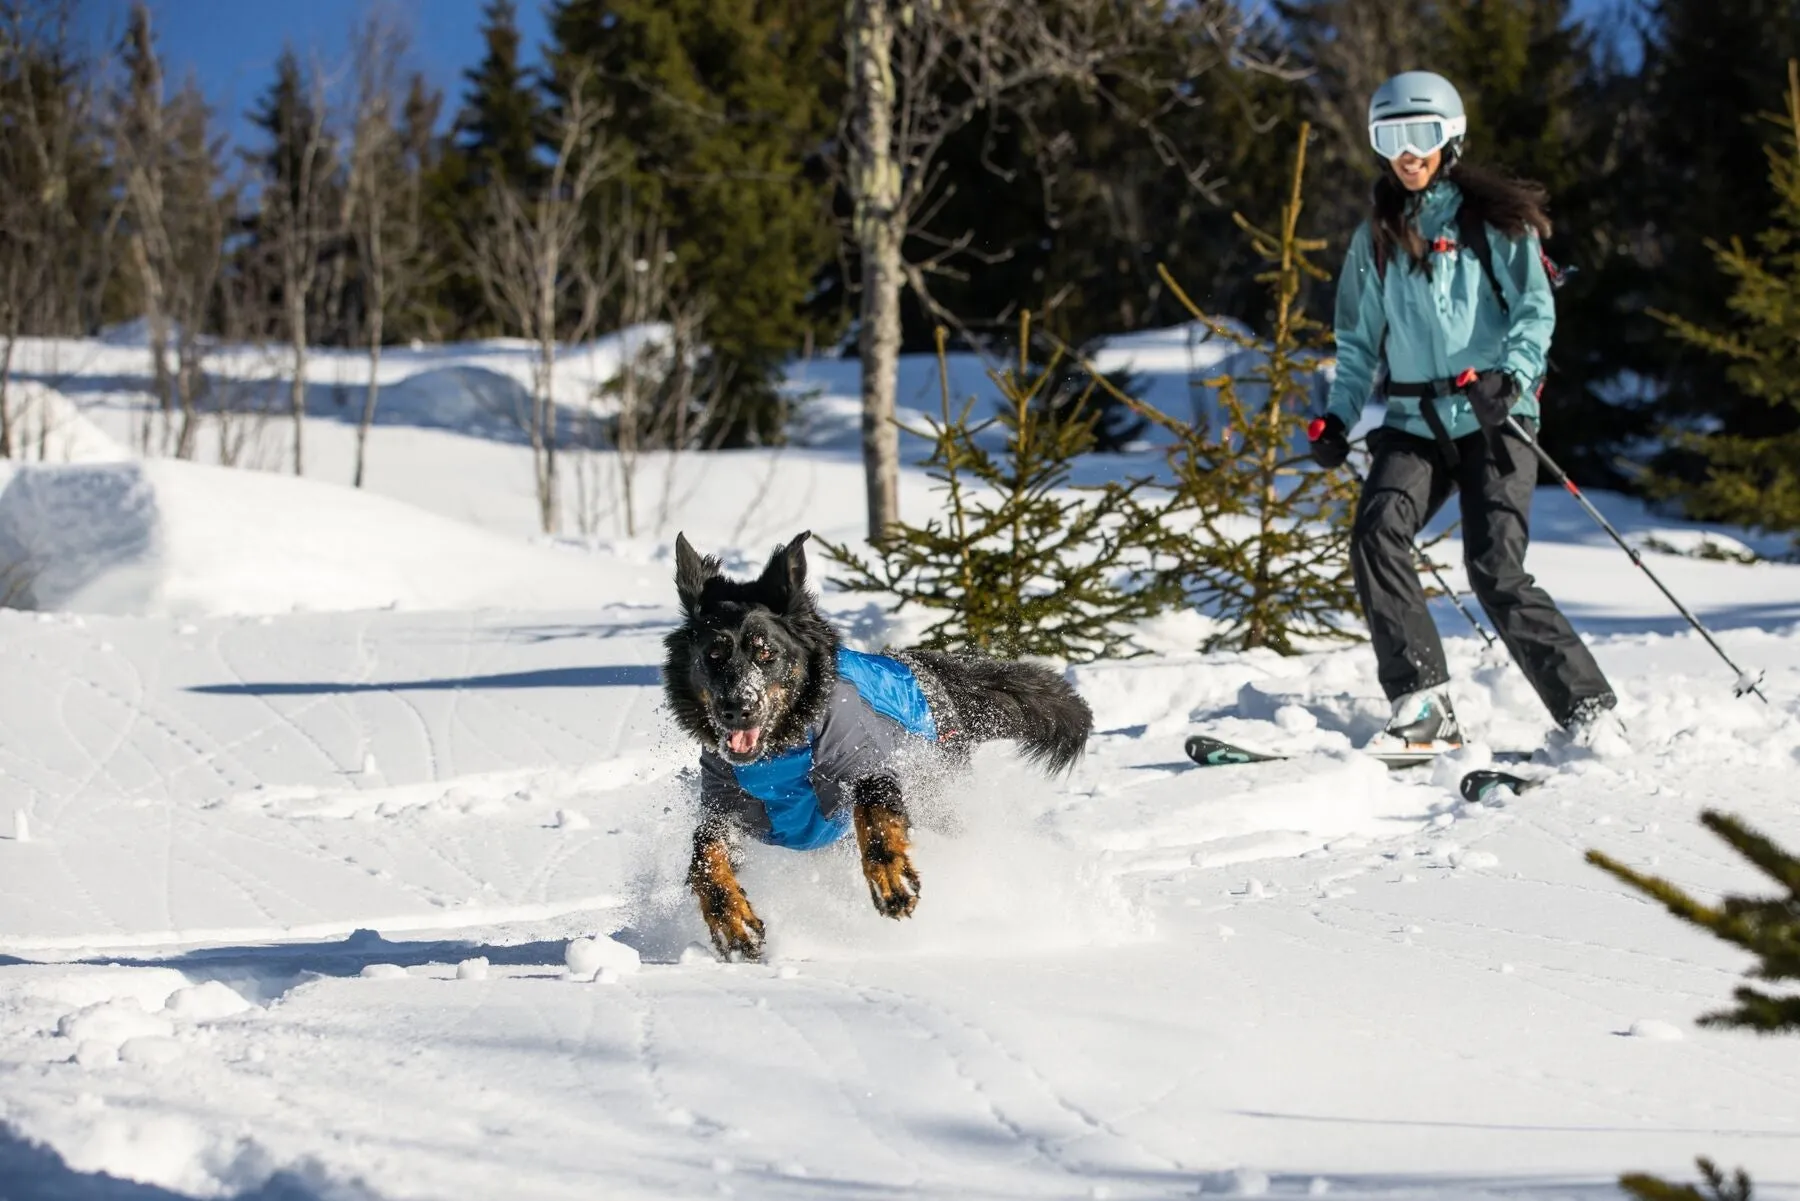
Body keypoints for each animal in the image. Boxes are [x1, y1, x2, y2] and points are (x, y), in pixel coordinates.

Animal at [658, 529, 1087, 965]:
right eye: (713, 655)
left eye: (767, 653)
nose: (736, 708)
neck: (780, 755)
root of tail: (925, 668)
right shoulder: (726, 801)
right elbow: (704, 856)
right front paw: (733, 921)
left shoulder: (863, 761)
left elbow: (874, 809)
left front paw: (891, 878)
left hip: (941, 798)